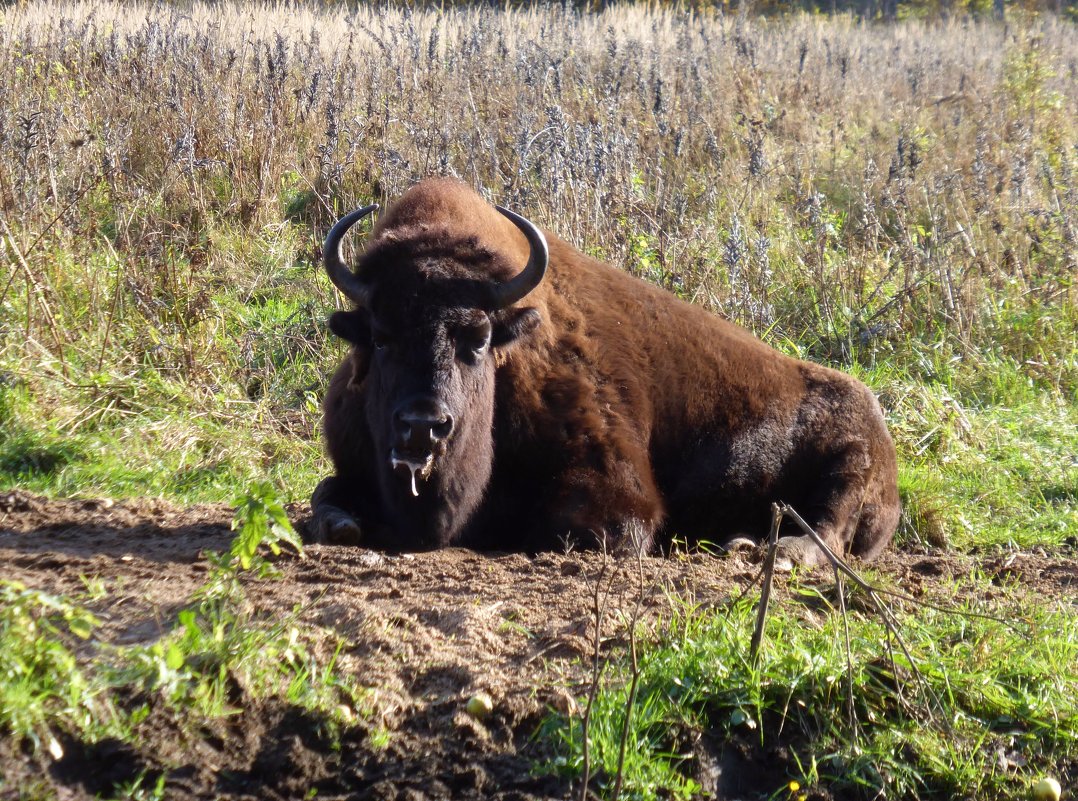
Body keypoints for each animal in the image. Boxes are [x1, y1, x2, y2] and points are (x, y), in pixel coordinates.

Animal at [312, 178, 901, 569]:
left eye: (476, 340)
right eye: (380, 337)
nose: (422, 426)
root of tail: (874, 412)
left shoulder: (618, 501)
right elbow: (326, 497)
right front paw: (345, 523)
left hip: (849, 467)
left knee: (829, 531)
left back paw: (765, 550)